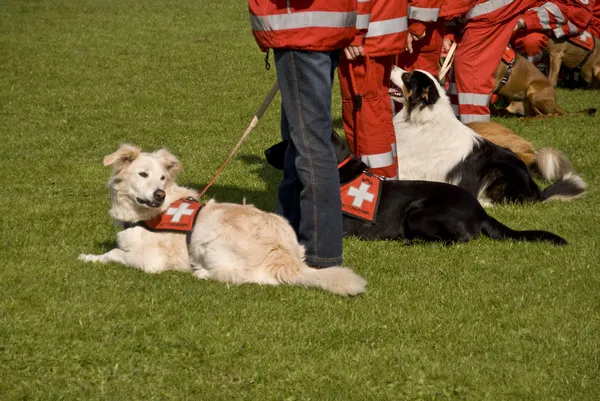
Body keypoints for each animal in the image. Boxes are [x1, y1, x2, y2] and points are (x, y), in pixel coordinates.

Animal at [79, 143, 366, 294]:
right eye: (142, 174)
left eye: (161, 177)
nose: (159, 194)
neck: (147, 214)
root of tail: (287, 259)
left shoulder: (149, 260)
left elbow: (114, 253)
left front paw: (89, 258)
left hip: (211, 240)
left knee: (246, 277)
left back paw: (203, 273)